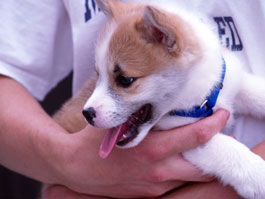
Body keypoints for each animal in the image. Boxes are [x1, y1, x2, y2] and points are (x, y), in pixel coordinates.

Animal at [55, 0, 264, 198]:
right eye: (98, 75)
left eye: (125, 80)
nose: (87, 114)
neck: (201, 99)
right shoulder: (187, 138)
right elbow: (225, 147)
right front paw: (257, 174)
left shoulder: (233, 83)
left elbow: (254, 91)